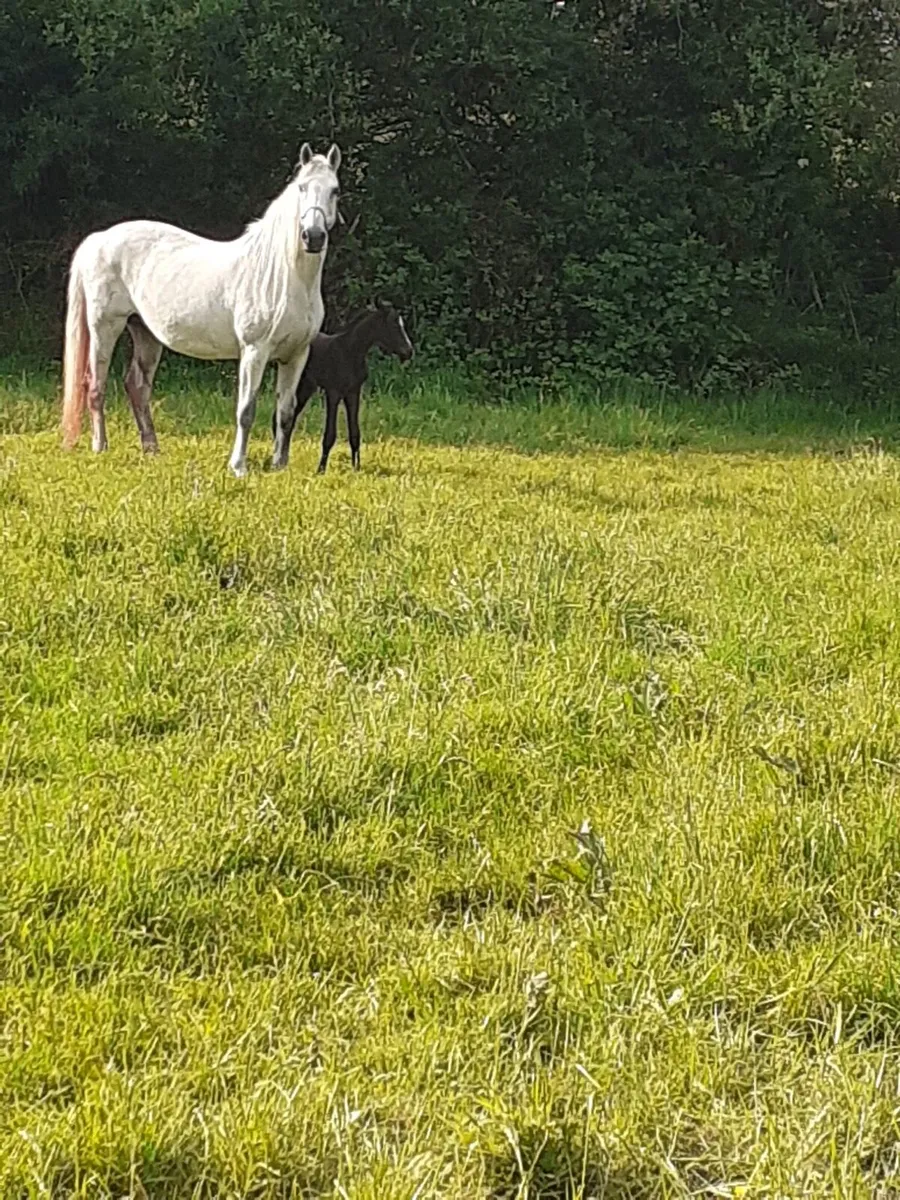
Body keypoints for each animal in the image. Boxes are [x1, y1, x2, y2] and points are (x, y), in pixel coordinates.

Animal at [60, 142, 342, 477]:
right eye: (301, 188)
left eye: (335, 191)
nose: (313, 237)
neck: (283, 276)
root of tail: (98, 239)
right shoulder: (254, 351)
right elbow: (246, 411)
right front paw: (238, 467)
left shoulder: (296, 355)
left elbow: (286, 412)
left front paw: (279, 466)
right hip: (105, 326)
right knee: (95, 385)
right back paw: (100, 446)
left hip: (145, 333)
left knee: (137, 386)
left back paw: (152, 449)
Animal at [272, 300, 413, 473]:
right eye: (394, 325)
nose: (409, 351)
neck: (349, 351)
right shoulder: (333, 393)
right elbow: (329, 435)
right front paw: (321, 469)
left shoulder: (353, 393)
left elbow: (355, 433)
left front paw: (356, 467)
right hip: (299, 387)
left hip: (306, 389)